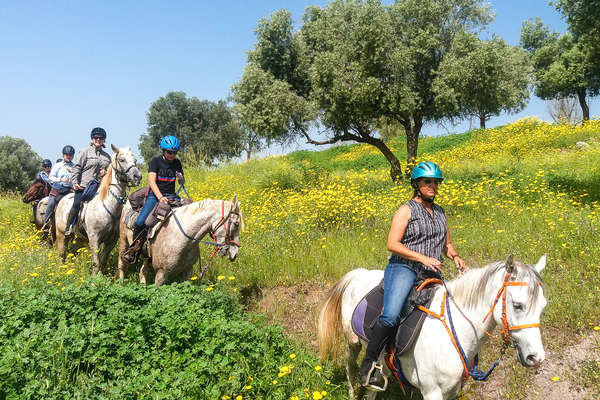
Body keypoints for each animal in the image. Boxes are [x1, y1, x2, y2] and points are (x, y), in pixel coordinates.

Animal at [54, 146, 142, 276]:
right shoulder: (94, 238)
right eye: (122, 160)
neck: (107, 205)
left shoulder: (111, 241)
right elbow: (96, 262)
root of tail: (62, 199)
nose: (137, 176)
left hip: (78, 239)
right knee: (61, 254)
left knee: (72, 252)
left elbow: (103, 260)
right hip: (61, 235)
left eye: (135, 160)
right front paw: (95, 278)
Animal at [318, 255, 548, 398]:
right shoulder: (431, 391)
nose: (536, 358)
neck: (455, 332)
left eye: (543, 306)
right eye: (517, 305)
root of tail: (358, 273)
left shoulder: (452, 390)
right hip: (353, 343)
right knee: (351, 366)